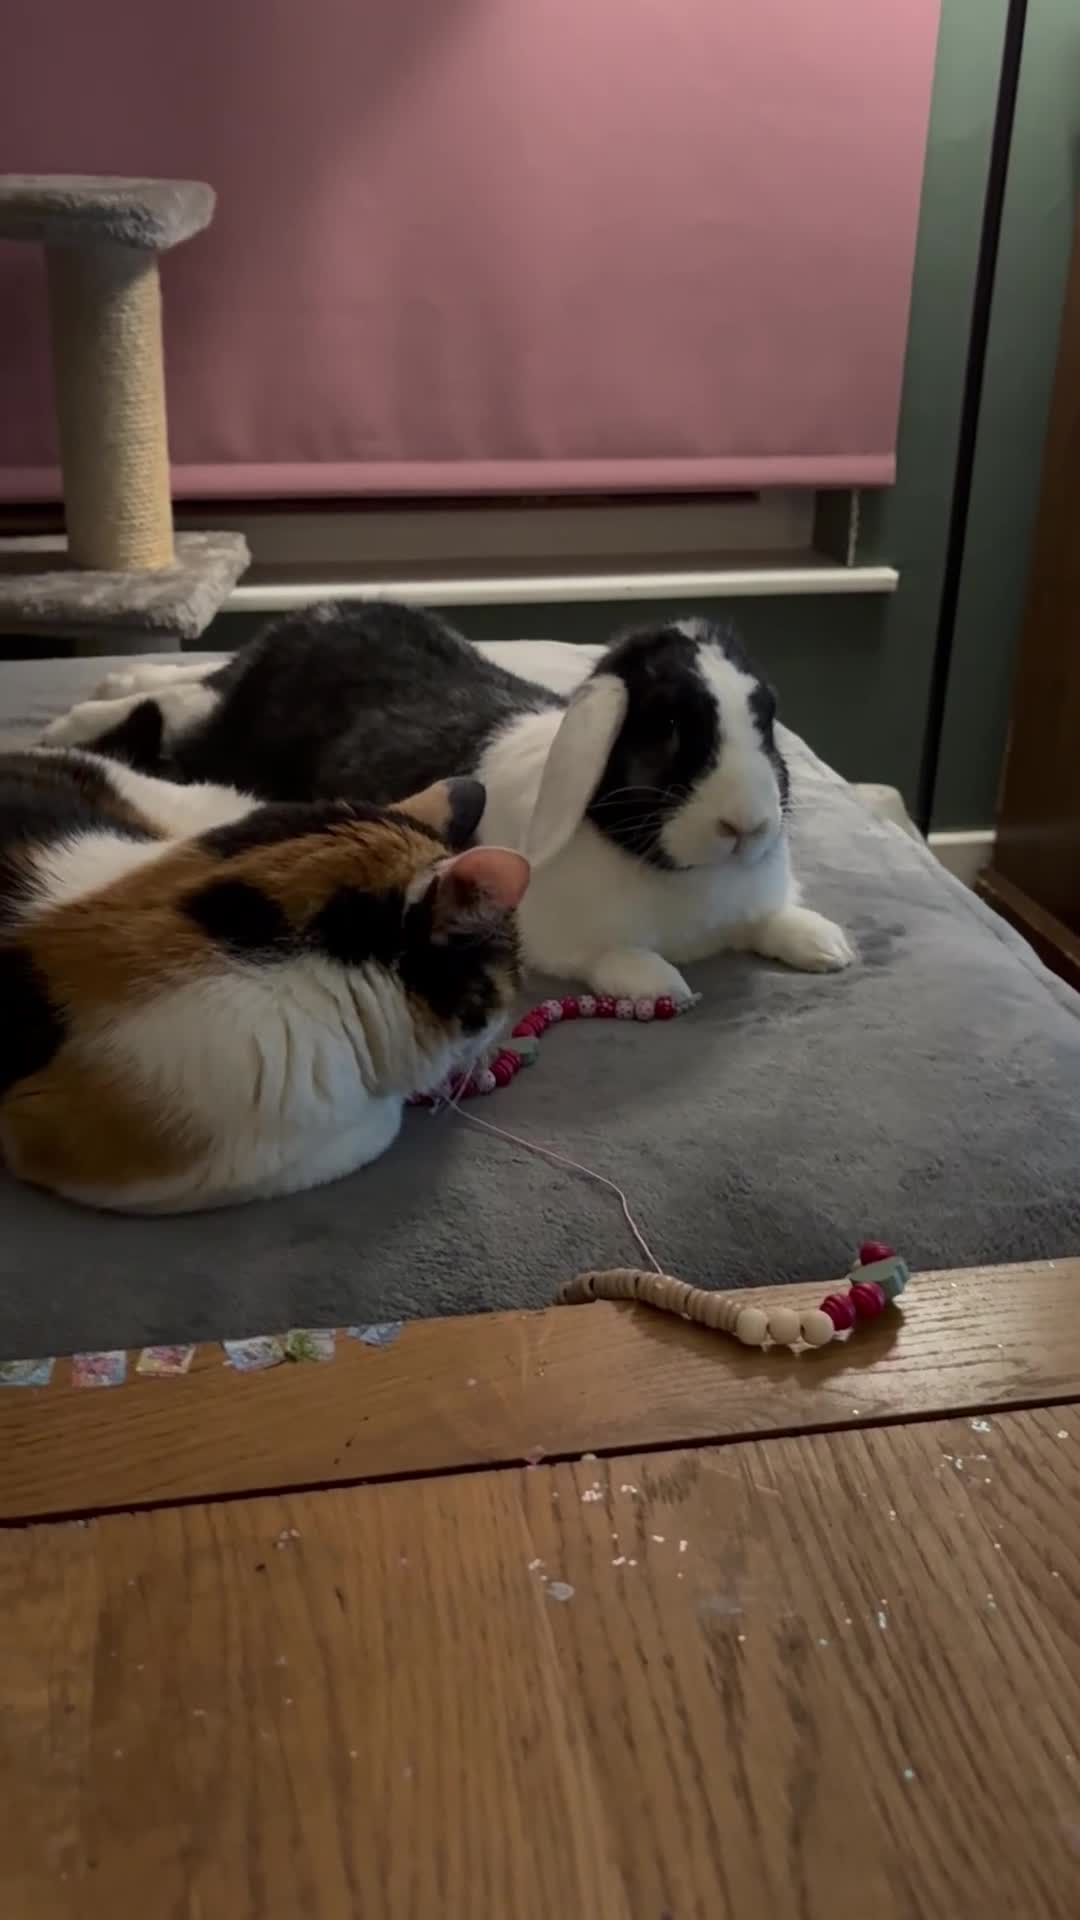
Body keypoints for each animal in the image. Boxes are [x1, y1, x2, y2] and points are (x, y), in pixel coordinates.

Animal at [43, 602, 854, 1004]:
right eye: (670, 732)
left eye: (766, 717)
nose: (746, 826)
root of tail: (318, 615)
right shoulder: (559, 940)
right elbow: (616, 959)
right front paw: (666, 987)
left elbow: (775, 920)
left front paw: (827, 947)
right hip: (226, 738)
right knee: (180, 700)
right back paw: (72, 718)